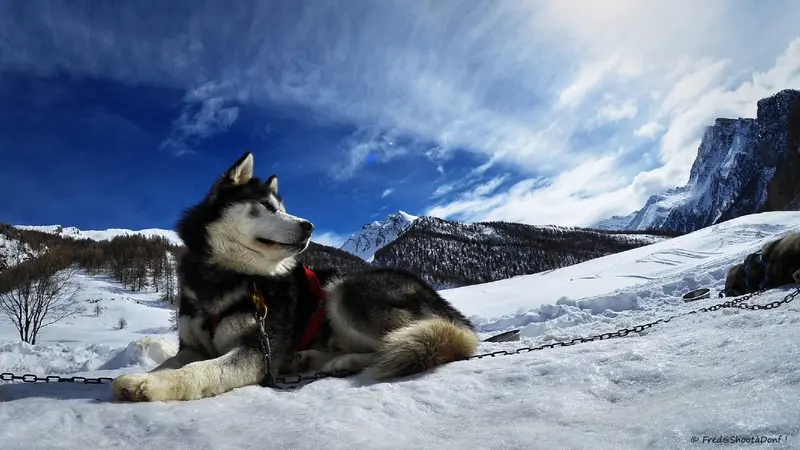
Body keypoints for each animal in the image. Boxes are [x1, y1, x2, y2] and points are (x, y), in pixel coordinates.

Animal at [109, 153, 478, 402]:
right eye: (266, 207)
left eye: (283, 208)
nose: (309, 225)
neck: (229, 275)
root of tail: (449, 311)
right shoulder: (192, 345)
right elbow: (172, 362)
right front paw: (150, 374)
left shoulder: (257, 349)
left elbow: (201, 370)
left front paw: (149, 385)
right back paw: (311, 358)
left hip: (344, 291)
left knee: (398, 344)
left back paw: (345, 360)